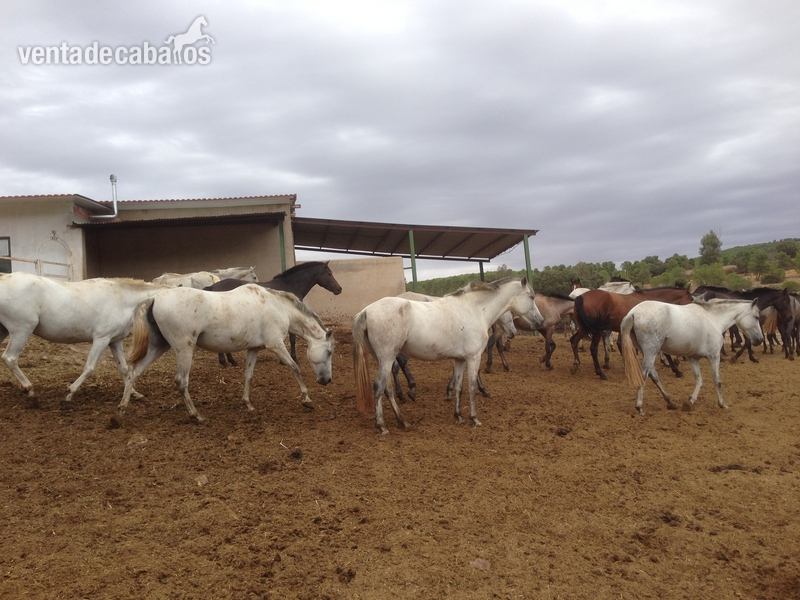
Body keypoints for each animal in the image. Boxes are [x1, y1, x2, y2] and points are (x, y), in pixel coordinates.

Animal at [0, 273, 168, 404]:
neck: (121, 299)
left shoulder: (115, 342)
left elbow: (124, 369)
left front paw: (134, 393)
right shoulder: (101, 339)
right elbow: (89, 367)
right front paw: (70, 392)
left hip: (5, 331)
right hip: (21, 330)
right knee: (10, 358)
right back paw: (30, 390)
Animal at [116, 285, 334, 425]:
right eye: (329, 351)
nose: (327, 380)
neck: (277, 306)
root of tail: (155, 298)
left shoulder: (254, 349)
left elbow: (248, 375)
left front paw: (248, 404)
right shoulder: (276, 345)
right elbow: (294, 367)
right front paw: (306, 399)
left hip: (158, 346)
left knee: (133, 372)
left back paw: (120, 412)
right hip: (184, 348)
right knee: (181, 381)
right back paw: (196, 416)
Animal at [207, 261, 342, 366]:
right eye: (329, 274)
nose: (339, 289)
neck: (290, 285)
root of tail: (213, 286)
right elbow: (292, 339)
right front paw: (293, 359)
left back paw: (230, 361)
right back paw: (226, 362)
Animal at [352, 277, 543, 434]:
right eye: (532, 297)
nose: (540, 322)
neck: (475, 310)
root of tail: (366, 311)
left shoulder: (460, 360)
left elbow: (459, 387)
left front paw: (458, 416)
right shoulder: (474, 357)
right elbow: (471, 387)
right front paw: (475, 418)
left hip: (383, 359)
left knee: (388, 388)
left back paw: (402, 421)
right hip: (386, 358)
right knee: (379, 387)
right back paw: (382, 426)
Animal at [620, 298, 763, 415]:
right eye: (756, 317)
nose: (760, 339)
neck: (713, 319)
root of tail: (633, 313)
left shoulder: (693, 358)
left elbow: (699, 381)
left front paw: (690, 402)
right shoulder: (714, 356)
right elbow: (717, 381)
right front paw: (722, 404)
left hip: (646, 351)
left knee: (653, 374)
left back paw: (670, 402)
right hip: (651, 350)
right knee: (644, 374)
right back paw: (640, 407)